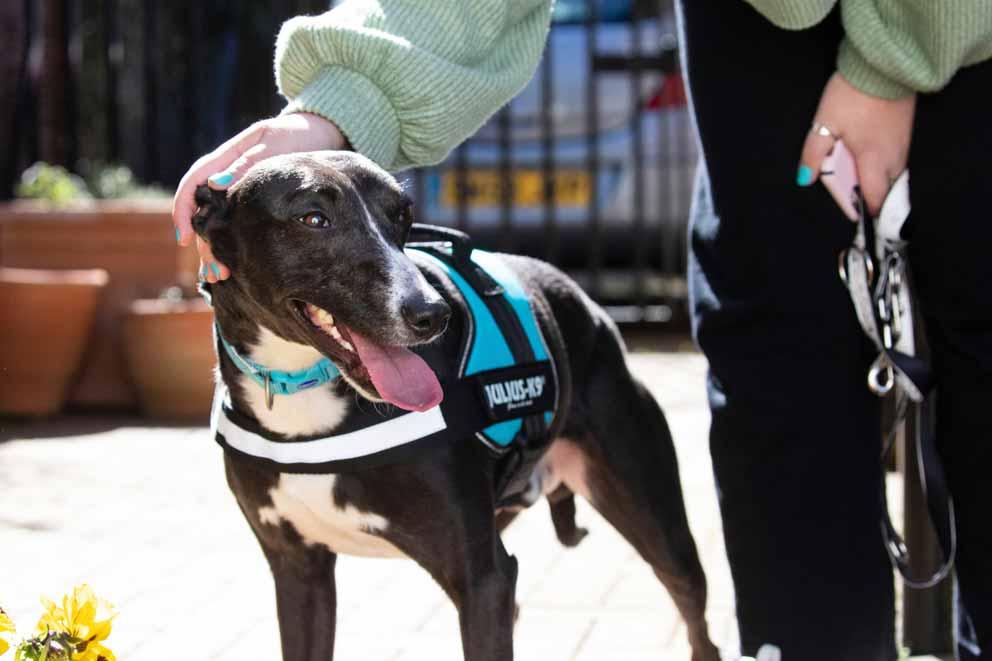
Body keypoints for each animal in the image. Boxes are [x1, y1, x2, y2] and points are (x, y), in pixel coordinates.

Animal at [194, 151, 716, 660]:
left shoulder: (482, 578)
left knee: (695, 613)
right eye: (313, 218)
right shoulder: (299, 572)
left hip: (656, 519)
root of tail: (592, 309)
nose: (432, 314)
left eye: (401, 216)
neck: (302, 392)